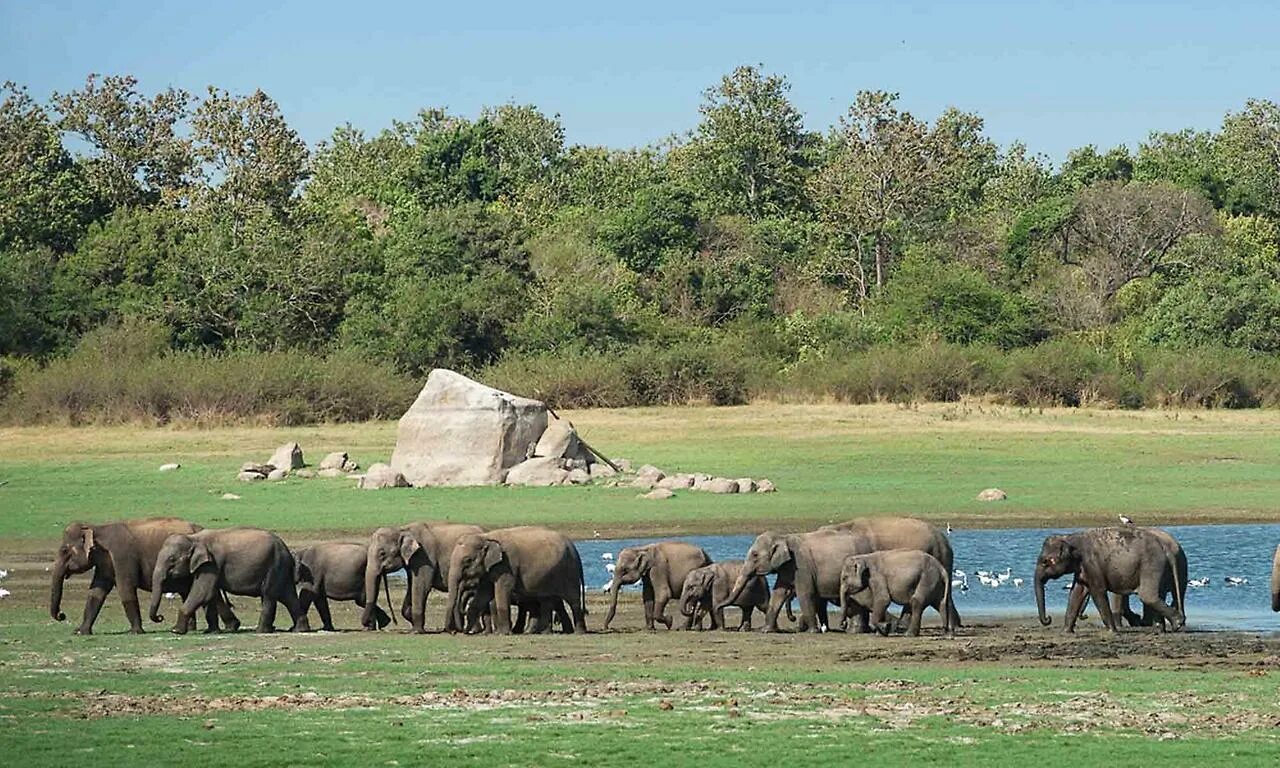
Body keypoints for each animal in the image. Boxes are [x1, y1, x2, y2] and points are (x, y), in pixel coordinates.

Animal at [49, 517, 239, 634]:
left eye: (64, 550)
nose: (62, 615)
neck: (96, 528)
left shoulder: (122, 557)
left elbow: (126, 589)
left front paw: (134, 632)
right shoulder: (105, 563)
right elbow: (96, 592)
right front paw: (80, 632)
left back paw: (224, 628)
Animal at [148, 527, 308, 634]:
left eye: (172, 560)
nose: (160, 617)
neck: (193, 538)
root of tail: (287, 550)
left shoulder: (211, 564)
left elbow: (202, 592)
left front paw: (175, 631)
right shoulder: (208, 566)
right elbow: (210, 594)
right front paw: (213, 631)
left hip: (274, 566)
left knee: (269, 595)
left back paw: (261, 631)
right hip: (280, 568)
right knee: (288, 596)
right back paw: (299, 630)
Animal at [445, 527, 588, 634]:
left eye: (468, 561)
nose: (455, 632)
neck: (486, 537)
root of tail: (574, 548)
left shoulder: (506, 565)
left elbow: (501, 592)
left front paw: (502, 633)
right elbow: (483, 594)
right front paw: (469, 631)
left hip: (569, 571)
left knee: (573, 600)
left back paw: (578, 632)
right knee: (547, 600)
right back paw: (543, 632)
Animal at [716, 529, 865, 632]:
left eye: (755, 555)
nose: (717, 606)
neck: (783, 537)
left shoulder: (802, 565)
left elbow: (805, 593)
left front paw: (812, 631)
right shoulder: (787, 567)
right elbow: (778, 593)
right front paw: (766, 630)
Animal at [1034, 524, 1182, 632]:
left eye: (1045, 562)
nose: (1048, 618)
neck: (1072, 538)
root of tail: (1165, 548)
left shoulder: (1092, 564)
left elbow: (1098, 592)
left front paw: (1112, 631)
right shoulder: (1083, 568)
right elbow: (1077, 592)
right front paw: (1066, 632)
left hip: (1151, 565)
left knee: (1148, 596)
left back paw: (1177, 624)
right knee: (1157, 594)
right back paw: (1161, 628)